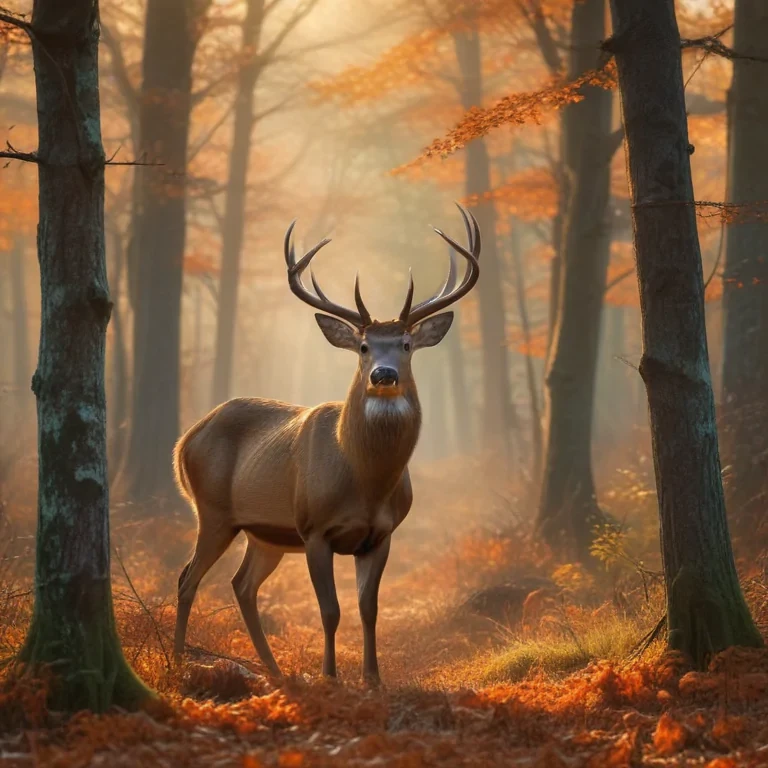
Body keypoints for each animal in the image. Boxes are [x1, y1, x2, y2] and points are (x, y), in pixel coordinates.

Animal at [173, 204, 481, 684]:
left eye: (406, 344)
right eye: (363, 346)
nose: (384, 375)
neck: (365, 481)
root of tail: (184, 440)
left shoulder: (381, 533)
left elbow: (369, 609)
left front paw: (373, 679)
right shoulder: (314, 528)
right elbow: (330, 610)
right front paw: (330, 676)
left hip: (265, 533)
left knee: (242, 585)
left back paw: (275, 672)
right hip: (214, 511)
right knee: (188, 578)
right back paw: (178, 660)